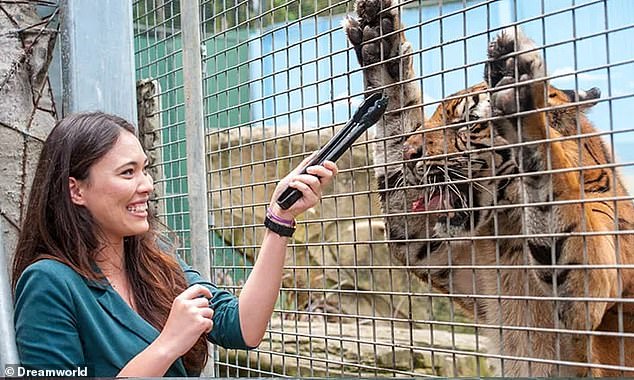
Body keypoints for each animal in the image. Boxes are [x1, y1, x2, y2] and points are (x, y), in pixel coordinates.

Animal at [344, 0, 634, 376]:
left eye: (467, 122)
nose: (410, 154)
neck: (506, 229)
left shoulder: (588, 294)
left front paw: (520, 89)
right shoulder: (430, 247)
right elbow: (395, 116)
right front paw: (380, 41)